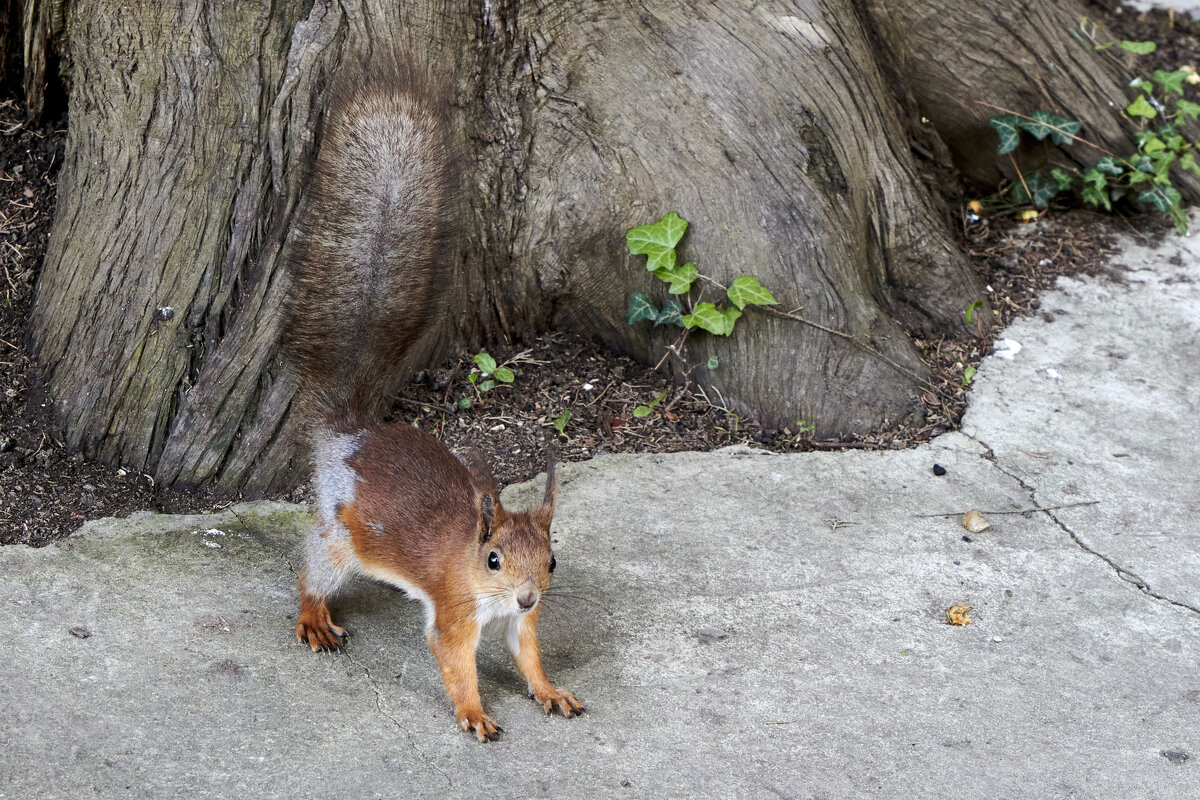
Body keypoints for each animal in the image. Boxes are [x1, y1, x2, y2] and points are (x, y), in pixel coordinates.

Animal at [278, 53, 583, 743]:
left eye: (552, 561)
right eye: (493, 559)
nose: (528, 595)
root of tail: (351, 430)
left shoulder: (520, 624)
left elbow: (529, 656)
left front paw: (551, 691)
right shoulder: (455, 613)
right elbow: (456, 662)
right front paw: (474, 714)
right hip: (342, 535)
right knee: (313, 564)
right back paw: (314, 615)